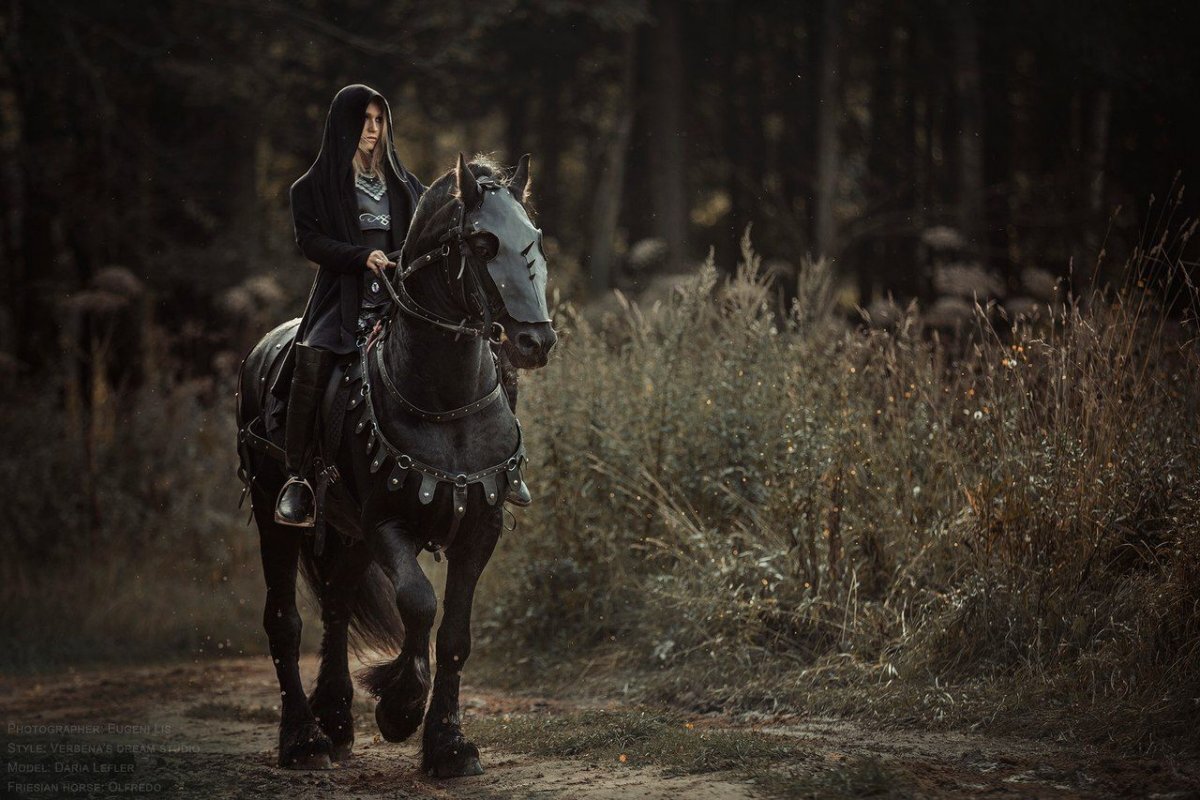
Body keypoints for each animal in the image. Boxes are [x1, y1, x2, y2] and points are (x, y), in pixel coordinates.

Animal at [236, 154, 559, 777]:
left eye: (532, 238)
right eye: (482, 243)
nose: (537, 342)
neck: (444, 403)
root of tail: (261, 351)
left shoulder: (480, 528)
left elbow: (454, 633)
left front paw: (449, 746)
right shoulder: (387, 523)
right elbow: (417, 602)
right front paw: (400, 708)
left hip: (348, 533)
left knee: (336, 603)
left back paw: (336, 718)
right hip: (274, 511)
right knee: (284, 620)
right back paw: (304, 740)